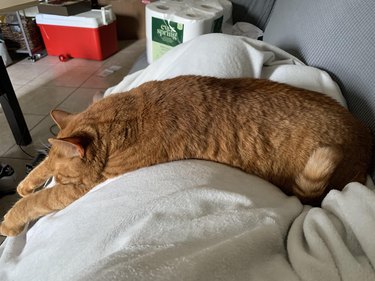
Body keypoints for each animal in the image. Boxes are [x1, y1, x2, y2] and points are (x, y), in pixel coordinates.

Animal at [0, 75, 372, 235]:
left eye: (63, 178)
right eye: (54, 174)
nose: (53, 178)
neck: (122, 117)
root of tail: (366, 138)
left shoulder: (82, 187)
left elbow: (37, 202)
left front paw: (11, 220)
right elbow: (40, 170)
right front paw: (26, 182)